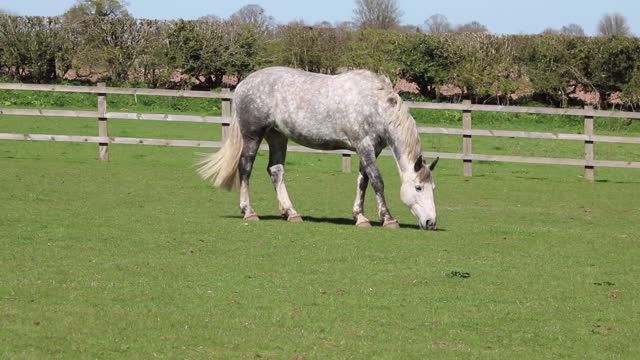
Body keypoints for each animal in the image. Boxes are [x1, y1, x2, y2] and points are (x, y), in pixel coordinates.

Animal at [199, 67, 440, 231]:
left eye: (433, 188)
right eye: (418, 187)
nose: (431, 222)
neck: (375, 104)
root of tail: (243, 84)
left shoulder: (372, 149)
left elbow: (363, 181)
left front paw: (359, 216)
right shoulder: (364, 146)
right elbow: (377, 181)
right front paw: (387, 218)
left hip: (277, 136)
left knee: (276, 171)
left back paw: (291, 213)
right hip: (253, 135)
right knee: (245, 168)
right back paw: (249, 212)